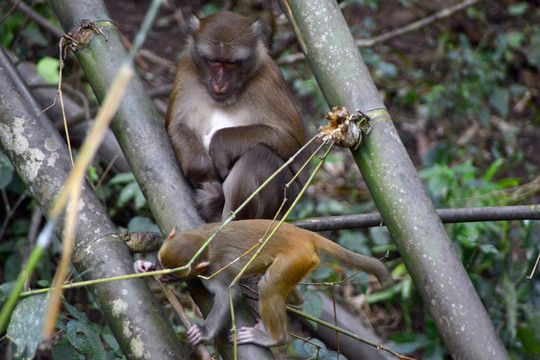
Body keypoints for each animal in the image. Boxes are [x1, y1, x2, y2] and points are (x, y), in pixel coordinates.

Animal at [135, 221, 392, 348]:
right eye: (161, 264)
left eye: (172, 278)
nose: (161, 278)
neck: (205, 242)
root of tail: (303, 234)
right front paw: (146, 266)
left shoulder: (217, 270)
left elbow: (230, 295)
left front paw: (205, 333)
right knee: (287, 292)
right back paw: (293, 302)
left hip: (295, 257)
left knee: (268, 285)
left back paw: (276, 339)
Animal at [165, 11, 308, 222]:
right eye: (214, 60)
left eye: (231, 63)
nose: (220, 83)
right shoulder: (186, 70)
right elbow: (177, 126)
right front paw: (203, 170)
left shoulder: (269, 80)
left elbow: (291, 142)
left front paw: (220, 145)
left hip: (281, 205)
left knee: (259, 157)